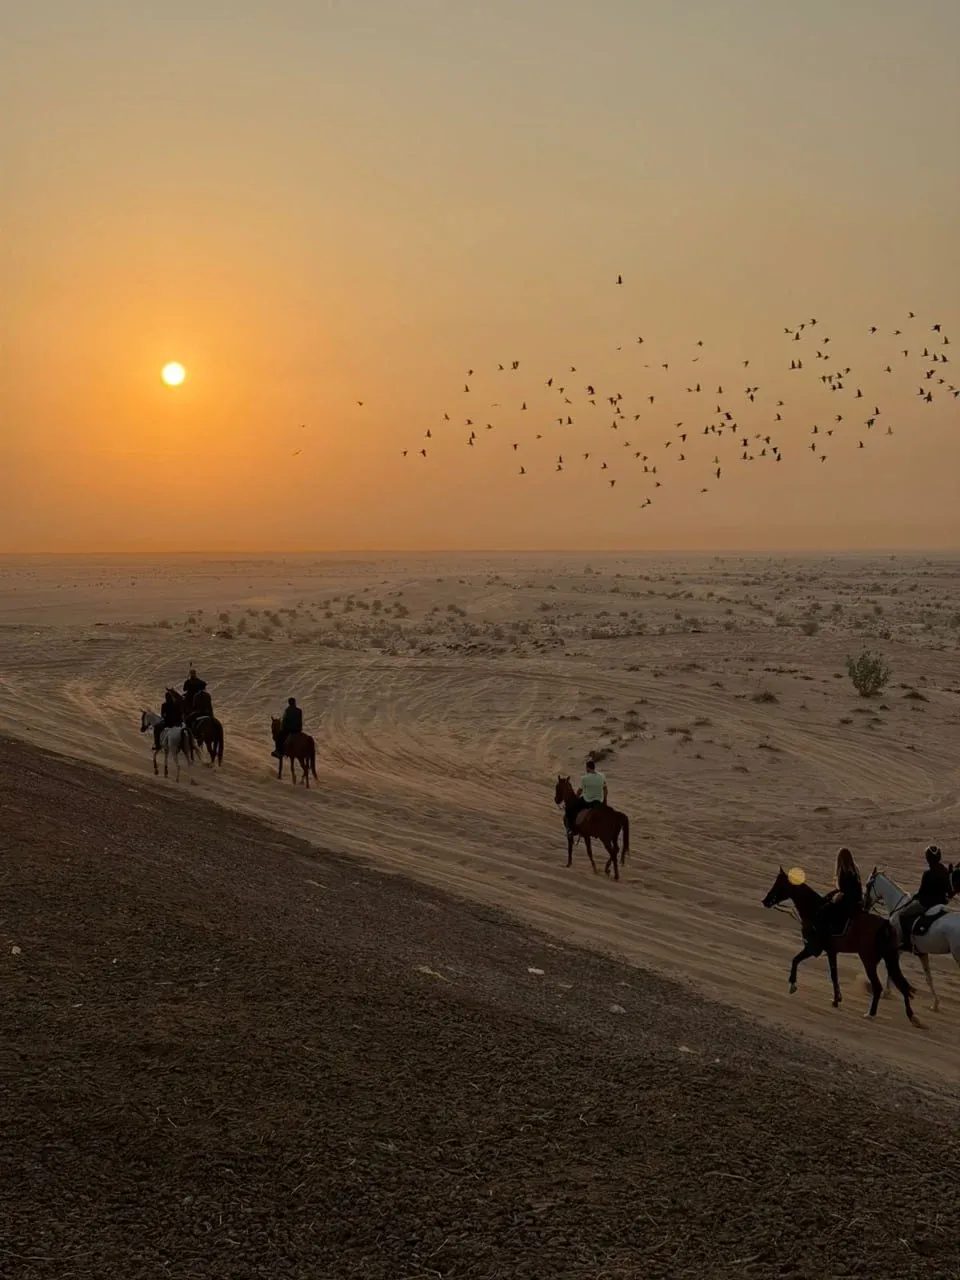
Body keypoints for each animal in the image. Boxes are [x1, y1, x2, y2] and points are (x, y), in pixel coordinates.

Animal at [761, 866, 918, 1024]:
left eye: (779, 885)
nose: (765, 901)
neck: (815, 910)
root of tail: (885, 924)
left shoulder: (812, 948)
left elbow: (795, 960)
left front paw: (792, 984)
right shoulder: (831, 951)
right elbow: (834, 975)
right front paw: (837, 999)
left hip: (868, 959)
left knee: (878, 986)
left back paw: (871, 1013)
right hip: (888, 958)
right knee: (902, 985)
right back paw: (911, 1015)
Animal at [864, 868, 960, 1013]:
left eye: (868, 885)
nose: (864, 905)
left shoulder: (895, 949)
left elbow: (892, 969)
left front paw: (887, 992)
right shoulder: (922, 953)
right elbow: (928, 978)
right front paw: (935, 1004)